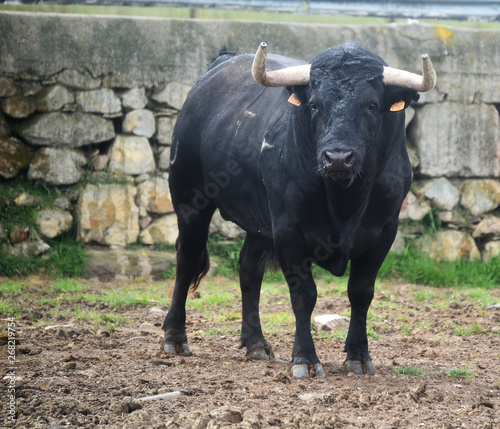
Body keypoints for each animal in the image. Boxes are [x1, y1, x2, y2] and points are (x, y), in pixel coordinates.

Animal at [163, 42, 434, 378]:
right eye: (315, 104)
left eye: (372, 105)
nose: (337, 157)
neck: (345, 199)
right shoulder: (288, 231)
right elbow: (304, 295)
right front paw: (305, 358)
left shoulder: (383, 231)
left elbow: (361, 292)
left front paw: (358, 356)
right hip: (189, 198)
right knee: (187, 260)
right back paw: (174, 337)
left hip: (260, 222)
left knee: (249, 267)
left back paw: (255, 344)